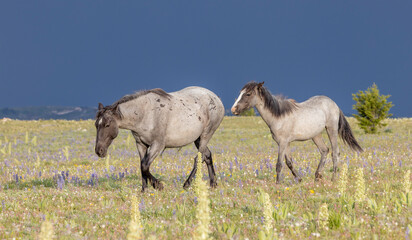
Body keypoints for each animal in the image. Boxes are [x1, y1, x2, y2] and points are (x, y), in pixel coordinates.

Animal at [94, 86, 224, 191]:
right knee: (207, 156)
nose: (99, 150)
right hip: (198, 139)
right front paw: (144, 190)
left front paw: (158, 185)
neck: (145, 113)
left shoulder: (158, 145)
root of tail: (216, 98)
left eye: (107, 125)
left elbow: (145, 166)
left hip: (205, 135)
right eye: (96, 124)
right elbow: (142, 166)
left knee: (198, 159)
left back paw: (187, 184)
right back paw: (213, 183)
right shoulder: (140, 144)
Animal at [232, 81, 364, 183]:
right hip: (316, 135)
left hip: (331, 129)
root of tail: (333, 104)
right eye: (240, 93)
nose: (234, 109)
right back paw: (317, 176)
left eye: (248, 94)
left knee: (335, 153)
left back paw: (333, 179)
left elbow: (279, 164)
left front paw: (278, 183)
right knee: (324, 150)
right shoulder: (284, 143)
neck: (278, 117)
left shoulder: (283, 143)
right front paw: (299, 179)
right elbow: (289, 162)